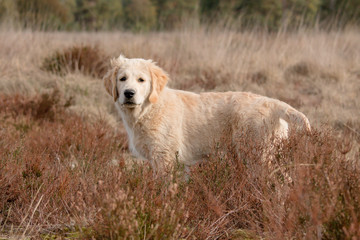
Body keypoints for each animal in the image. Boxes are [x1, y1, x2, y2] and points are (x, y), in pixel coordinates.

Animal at [102, 56, 310, 172]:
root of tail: (273, 102)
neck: (148, 109)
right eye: (122, 79)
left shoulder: (164, 158)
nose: (129, 93)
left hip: (258, 155)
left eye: (141, 80)